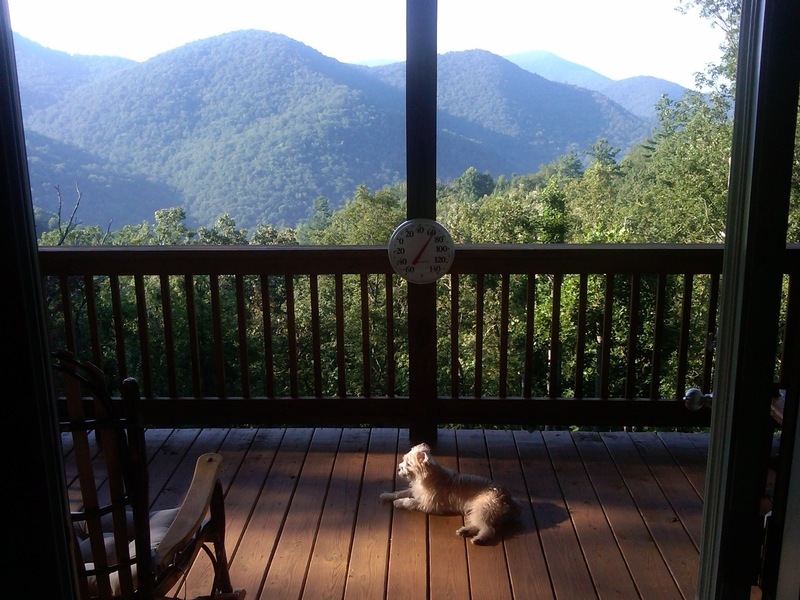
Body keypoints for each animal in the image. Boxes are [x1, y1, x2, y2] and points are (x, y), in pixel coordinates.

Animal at [380, 440, 520, 544]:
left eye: (408, 463)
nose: (398, 468)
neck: (426, 477)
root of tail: (509, 501)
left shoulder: (428, 504)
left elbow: (410, 502)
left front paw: (399, 502)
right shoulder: (416, 492)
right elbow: (400, 492)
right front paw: (387, 495)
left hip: (483, 508)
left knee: (489, 529)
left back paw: (479, 539)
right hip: (477, 510)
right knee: (479, 524)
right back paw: (466, 531)